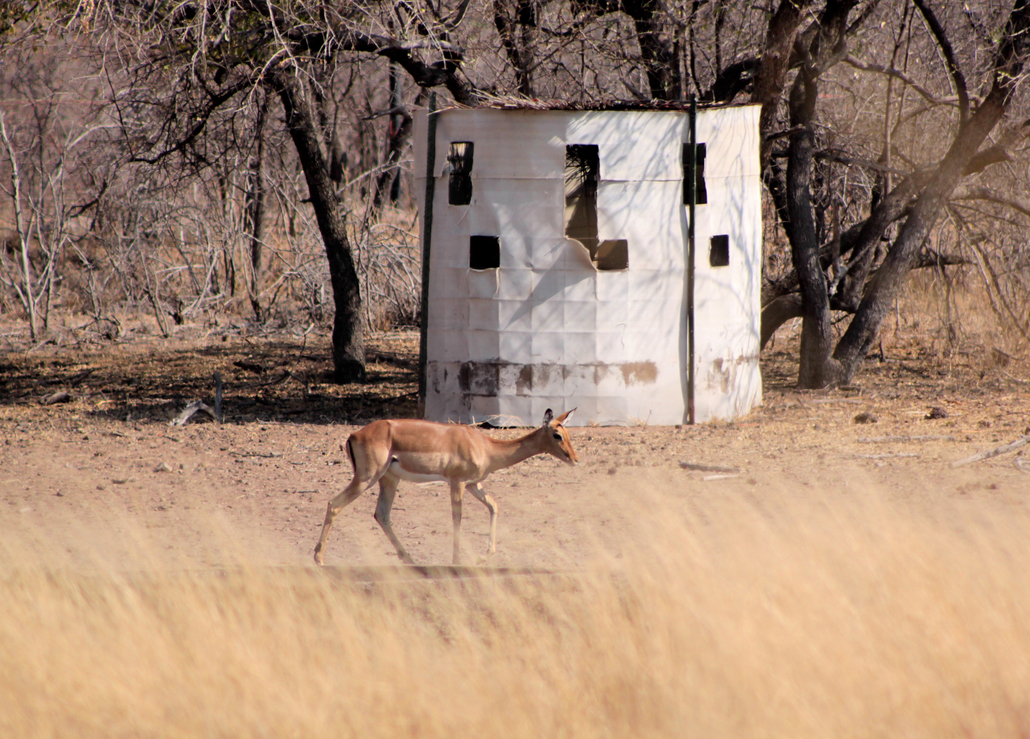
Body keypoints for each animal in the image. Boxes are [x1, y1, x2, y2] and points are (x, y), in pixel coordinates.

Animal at [311, 410, 580, 564]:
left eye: (567, 433)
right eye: (557, 435)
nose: (575, 459)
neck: (486, 446)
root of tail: (354, 435)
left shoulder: (474, 484)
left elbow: (494, 506)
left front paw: (484, 555)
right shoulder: (457, 482)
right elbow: (457, 518)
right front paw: (457, 560)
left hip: (389, 480)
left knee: (382, 515)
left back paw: (410, 559)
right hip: (366, 477)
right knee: (334, 504)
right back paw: (319, 558)